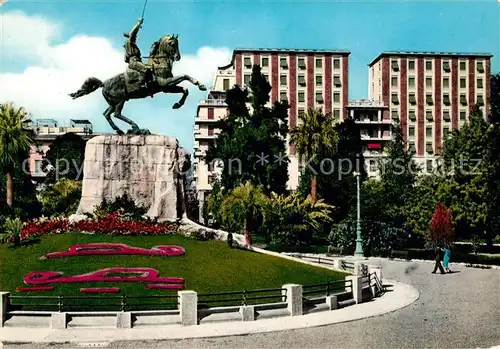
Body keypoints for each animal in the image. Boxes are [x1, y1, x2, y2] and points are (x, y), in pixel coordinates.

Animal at [68, 34, 205, 134]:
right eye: (172, 44)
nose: (177, 57)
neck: (158, 63)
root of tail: (103, 83)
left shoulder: (166, 88)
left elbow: (184, 89)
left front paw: (177, 104)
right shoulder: (165, 83)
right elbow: (185, 76)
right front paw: (200, 84)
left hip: (113, 102)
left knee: (107, 114)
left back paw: (119, 130)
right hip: (120, 99)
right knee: (117, 114)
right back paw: (135, 127)